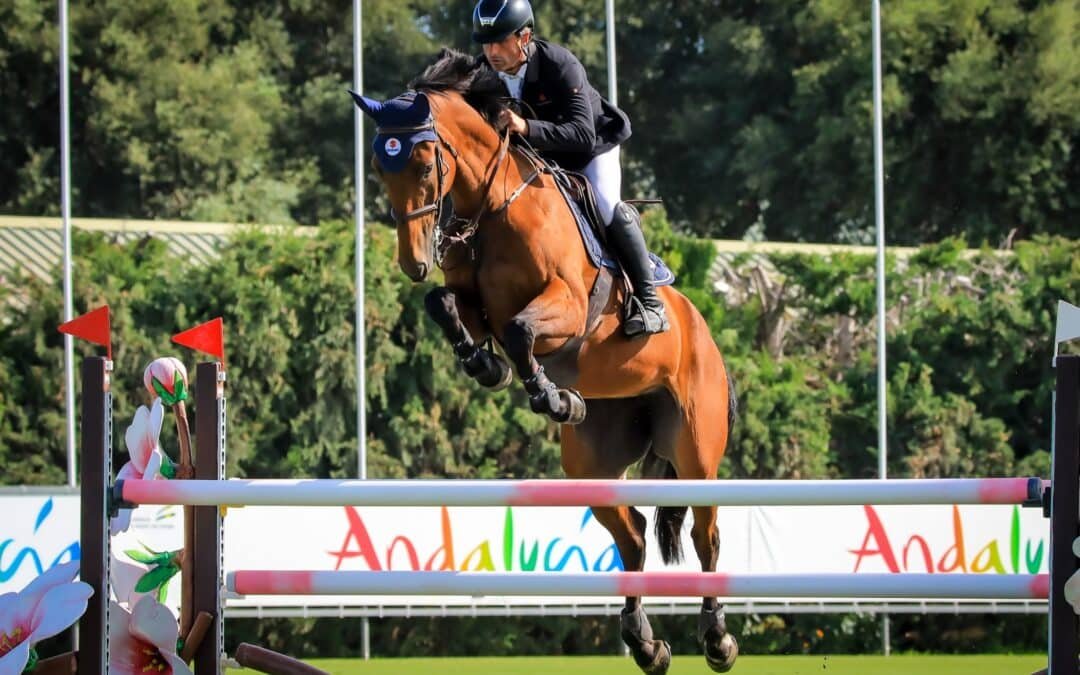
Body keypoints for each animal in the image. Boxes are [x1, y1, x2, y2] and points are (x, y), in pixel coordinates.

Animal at [352, 49, 739, 675]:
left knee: (706, 535)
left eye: (426, 161)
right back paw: (644, 642)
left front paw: (551, 395)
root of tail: (704, 332)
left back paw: (717, 638)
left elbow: (520, 330)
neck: (491, 206)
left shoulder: (568, 305)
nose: (413, 263)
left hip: (696, 447)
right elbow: (446, 307)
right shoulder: (473, 302)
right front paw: (489, 368)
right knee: (633, 536)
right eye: (379, 168)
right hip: (593, 462)